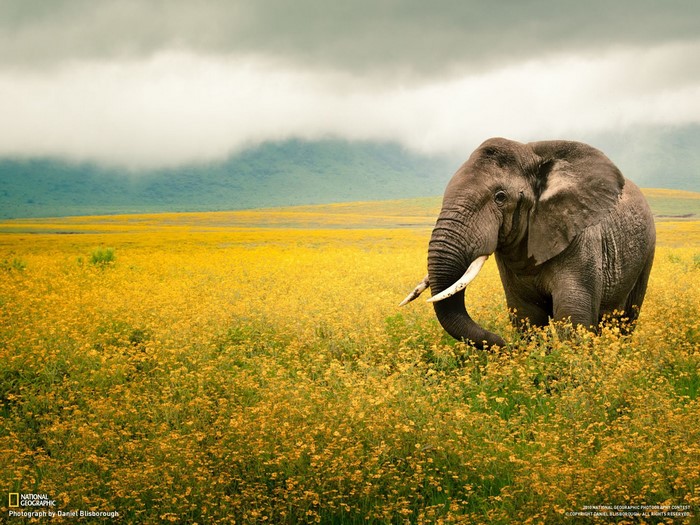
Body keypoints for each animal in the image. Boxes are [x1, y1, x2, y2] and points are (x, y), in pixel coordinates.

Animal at [401, 137, 656, 349]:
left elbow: (572, 316)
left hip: (647, 252)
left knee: (627, 318)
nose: (504, 344)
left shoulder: (581, 239)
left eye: (500, 197)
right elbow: (527, 316)